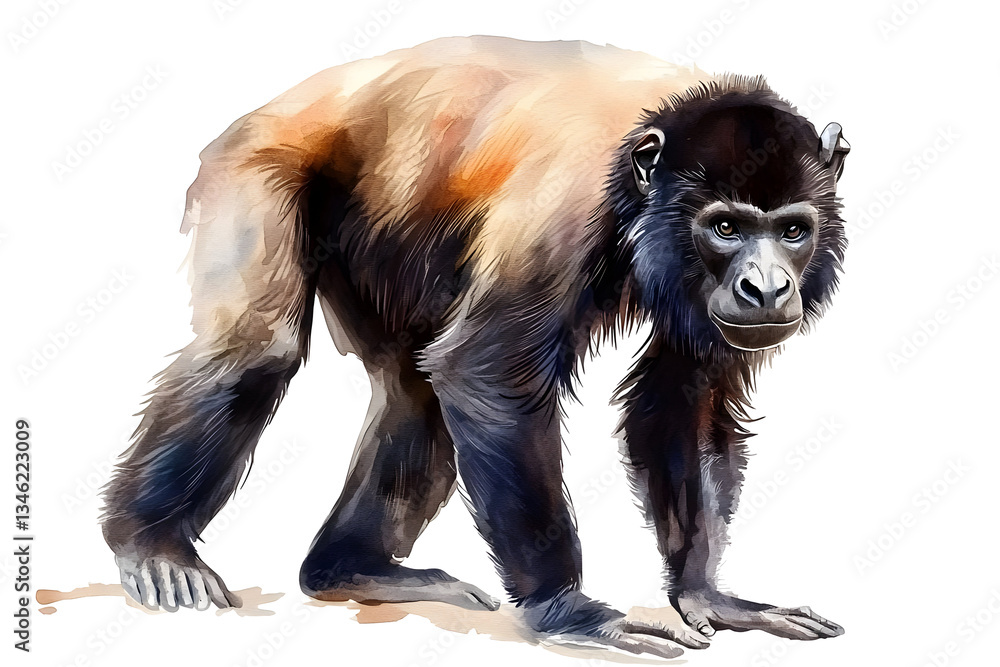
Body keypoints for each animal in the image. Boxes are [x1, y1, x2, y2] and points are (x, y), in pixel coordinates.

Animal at [101, 36, 849, 657]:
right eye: (725, 227)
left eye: (791, 231)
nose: (764, 286)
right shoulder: (562, 212)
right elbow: (488, 376)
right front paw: (567, 607)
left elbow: (681, 401)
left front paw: (706, 595)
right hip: (255, 164)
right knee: (257, 350)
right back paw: (152, 546)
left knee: (411, 392)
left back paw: (352, 569)